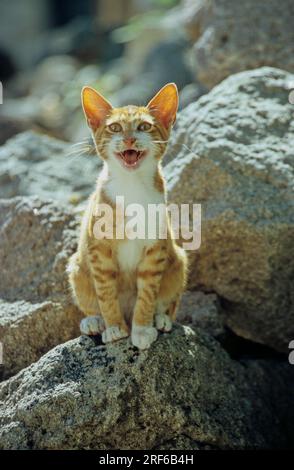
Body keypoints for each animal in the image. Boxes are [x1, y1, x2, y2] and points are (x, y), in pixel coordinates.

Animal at [68, 83, 187, 348]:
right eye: (115, 127)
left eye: (144, 126)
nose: (129, 139)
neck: (132, 187)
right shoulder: (98, 250)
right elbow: (105, 291)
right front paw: (115, 327)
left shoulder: (156, 249)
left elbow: (148, 292)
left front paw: (141, 329)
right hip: (77, 267)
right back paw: (94, 321)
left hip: (178, 261)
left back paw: (161, 318)